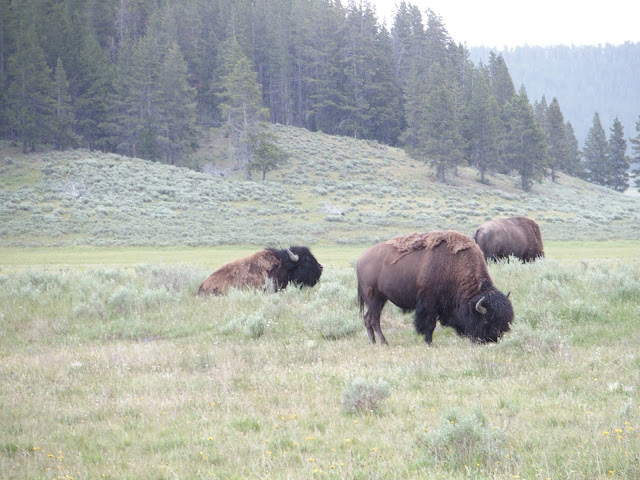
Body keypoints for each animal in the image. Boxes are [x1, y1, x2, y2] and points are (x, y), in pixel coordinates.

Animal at [356, 230, 513, 345]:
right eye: (486, 320)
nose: (492, 339)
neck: (455, 267)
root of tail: (360, 259)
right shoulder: (428, 303)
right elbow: (429, 324)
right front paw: (429, 343)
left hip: (381, 299)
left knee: (368, 319)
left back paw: (374, 342)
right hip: (375, 299)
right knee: (373, 319)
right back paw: (384, 343)